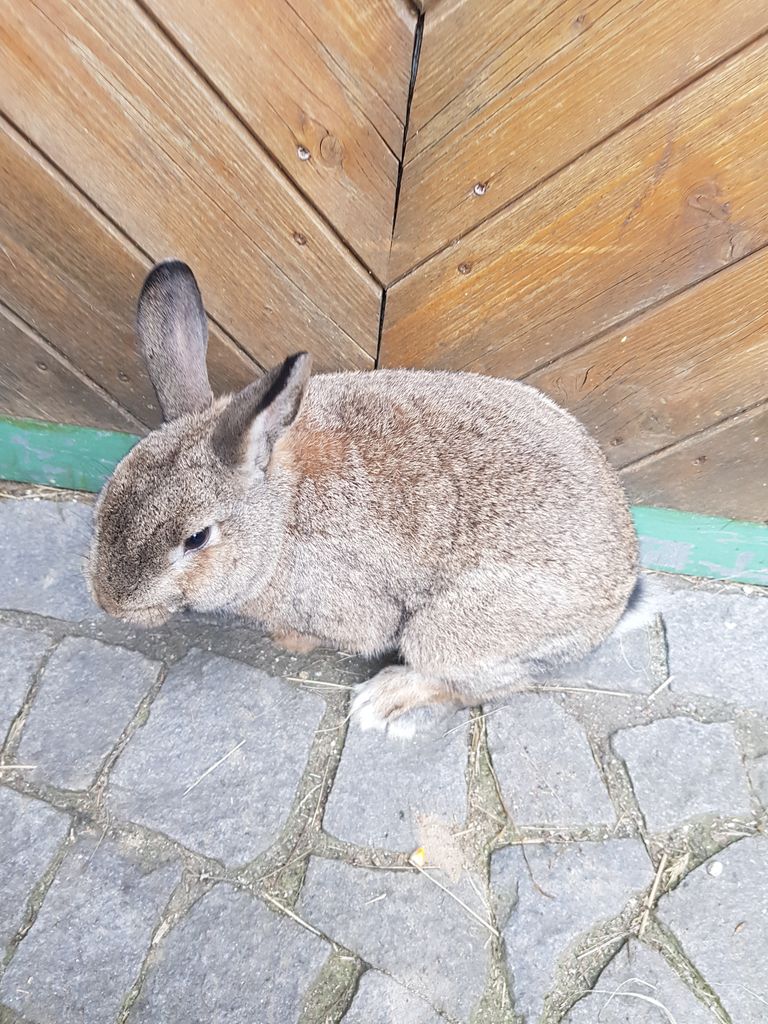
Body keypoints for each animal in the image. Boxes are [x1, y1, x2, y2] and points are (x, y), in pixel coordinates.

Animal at [90, 262, 638, 737]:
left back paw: (382, 700)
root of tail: (617, 600)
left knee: (486, 684)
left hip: (452, 629)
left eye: (196, 538)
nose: (110, 603)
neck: (280, 516)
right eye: (107, 498)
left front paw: (289, 640)